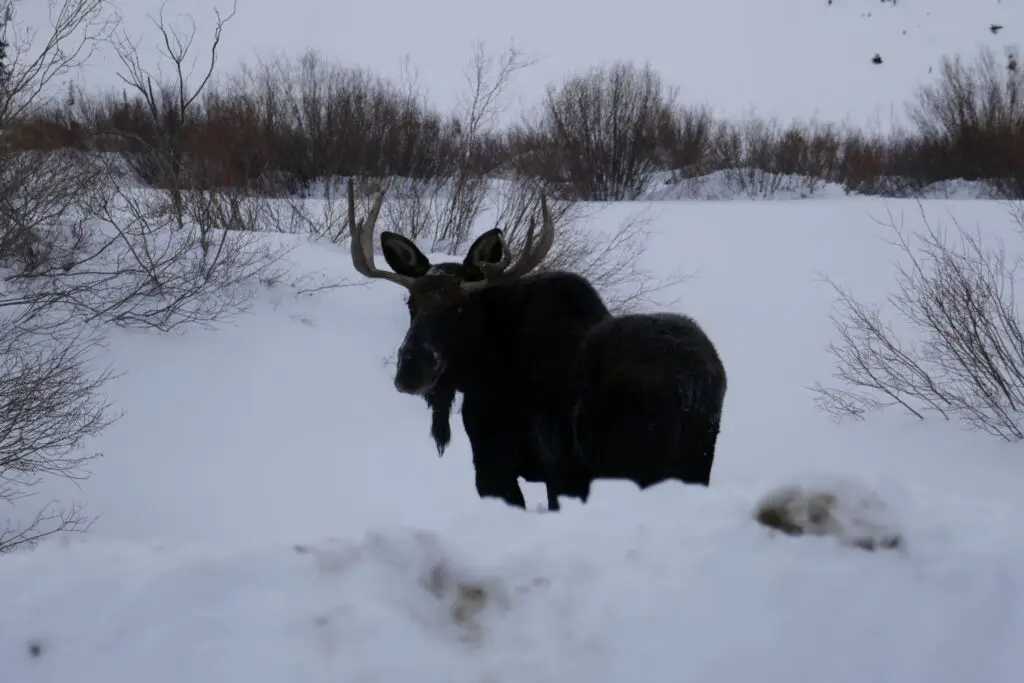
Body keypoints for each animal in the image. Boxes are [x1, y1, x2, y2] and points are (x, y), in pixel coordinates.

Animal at [350, 179, 729, 509]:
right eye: (411, 304)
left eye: (461, 308)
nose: (411, 370)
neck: (478, 373)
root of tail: (691, 387)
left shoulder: (501, 463)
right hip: (694, 466)